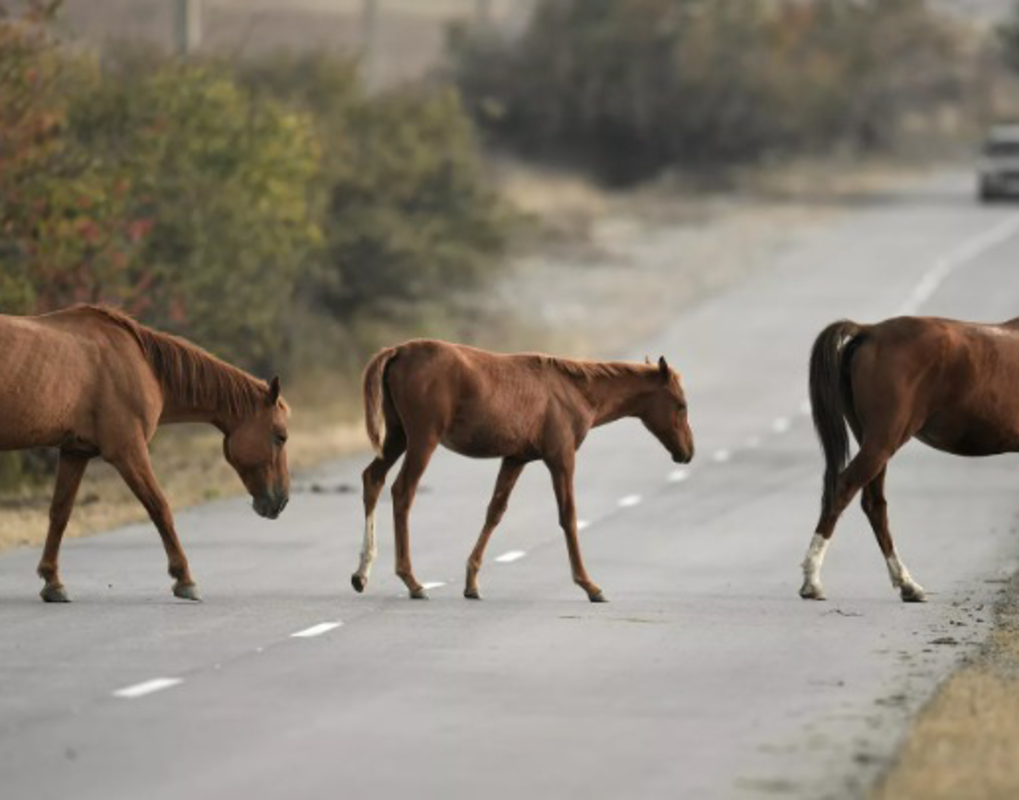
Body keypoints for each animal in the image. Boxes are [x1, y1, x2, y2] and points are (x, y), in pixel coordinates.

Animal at [350, 340, 692, 603]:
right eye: (681, 404)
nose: (687, 452)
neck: (573, 390)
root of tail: (397, 351)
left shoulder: (515, 459)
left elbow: (495, 512)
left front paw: (472, 583)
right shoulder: (561, 458)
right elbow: (568, 516)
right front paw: (589, 585)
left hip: (398, 437)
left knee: (373, 479)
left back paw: (362, 574)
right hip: (423, 439)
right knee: (402, 492)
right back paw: (411, 580)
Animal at [798, 315, 1019, 603]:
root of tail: (870, 332)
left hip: (873, 441)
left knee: (874, 504)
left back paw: (907, 584)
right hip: (883, 440)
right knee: (843, 488)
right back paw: (812, 581)